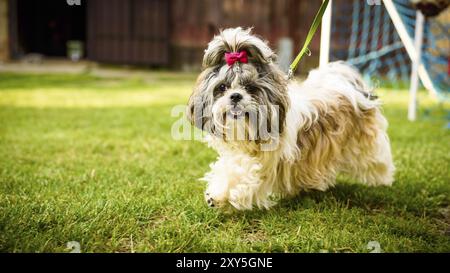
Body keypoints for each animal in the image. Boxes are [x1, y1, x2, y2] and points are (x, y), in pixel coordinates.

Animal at [186, 27, 394, 209]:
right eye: (222, 88)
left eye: (251, 88)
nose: (235, 96)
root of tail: (344, 85)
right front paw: (217, 192)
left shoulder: (266, 163)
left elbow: (245, 173)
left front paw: (219, 194)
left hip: (366, 143)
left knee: (376, 159)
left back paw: (382, 178)